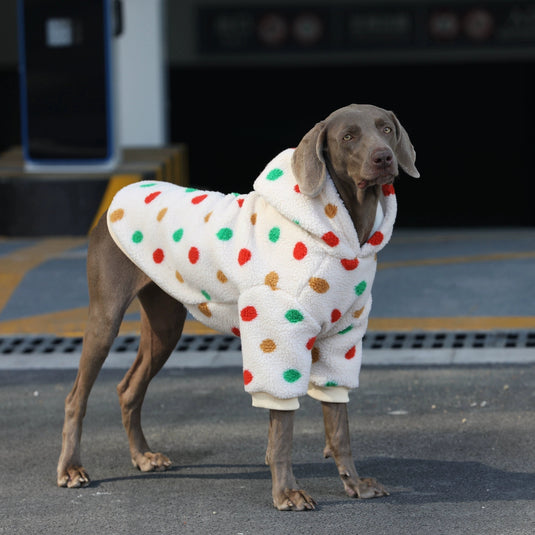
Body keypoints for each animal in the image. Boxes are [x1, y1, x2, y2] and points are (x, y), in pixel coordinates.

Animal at [57, 104, 418, 510]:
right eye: (348, 137)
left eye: (386, 129)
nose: (383, 158)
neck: (345, 230)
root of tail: (122, 193)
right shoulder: (277, 333)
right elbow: (282, 429)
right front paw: (286, 492)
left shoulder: (342, 337)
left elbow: (339, 426)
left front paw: (353, 483)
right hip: (106, 317)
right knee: (76, 397)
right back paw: (71, 468)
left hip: (165, 324)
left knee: (129, 388)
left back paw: (142, 456)